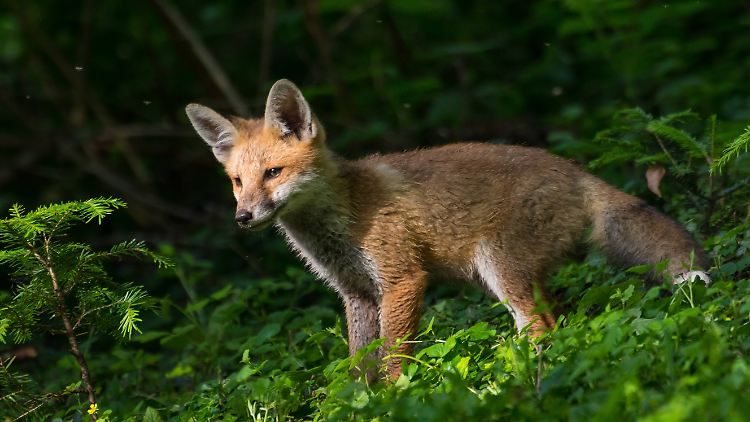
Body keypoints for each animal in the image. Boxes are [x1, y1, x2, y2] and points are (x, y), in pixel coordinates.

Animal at [185, 79, 709, 380]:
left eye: (273, 173)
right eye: (237, 181)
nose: (243, 217)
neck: (341, 216)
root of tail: (574, 170)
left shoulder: (401, 279)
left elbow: (393, 358)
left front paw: (396, 397)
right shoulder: (356, 294)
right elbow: (359, 367)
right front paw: (358, 405)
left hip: (500, 267)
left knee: (542, 328)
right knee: (559, 318)